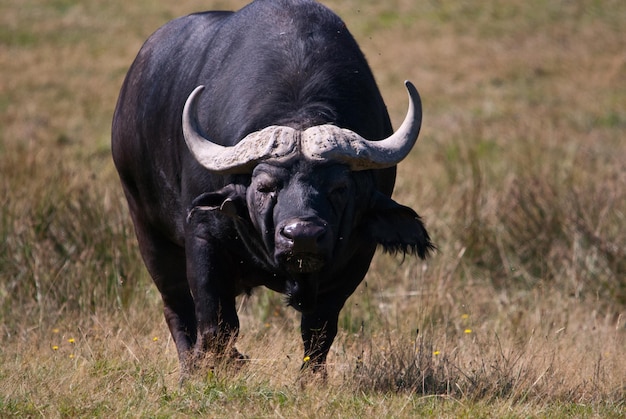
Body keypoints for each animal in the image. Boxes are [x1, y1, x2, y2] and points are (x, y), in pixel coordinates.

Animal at [112, 0, 432, 378]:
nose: (303, 236)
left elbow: (319, 330)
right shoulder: (204, 237)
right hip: (149, 232)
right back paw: (190, 367)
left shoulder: (354, 258)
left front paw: (311, 380)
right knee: (177, 308)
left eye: (339, 188)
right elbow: (216, 324)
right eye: (264, 187)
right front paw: (215, 366)